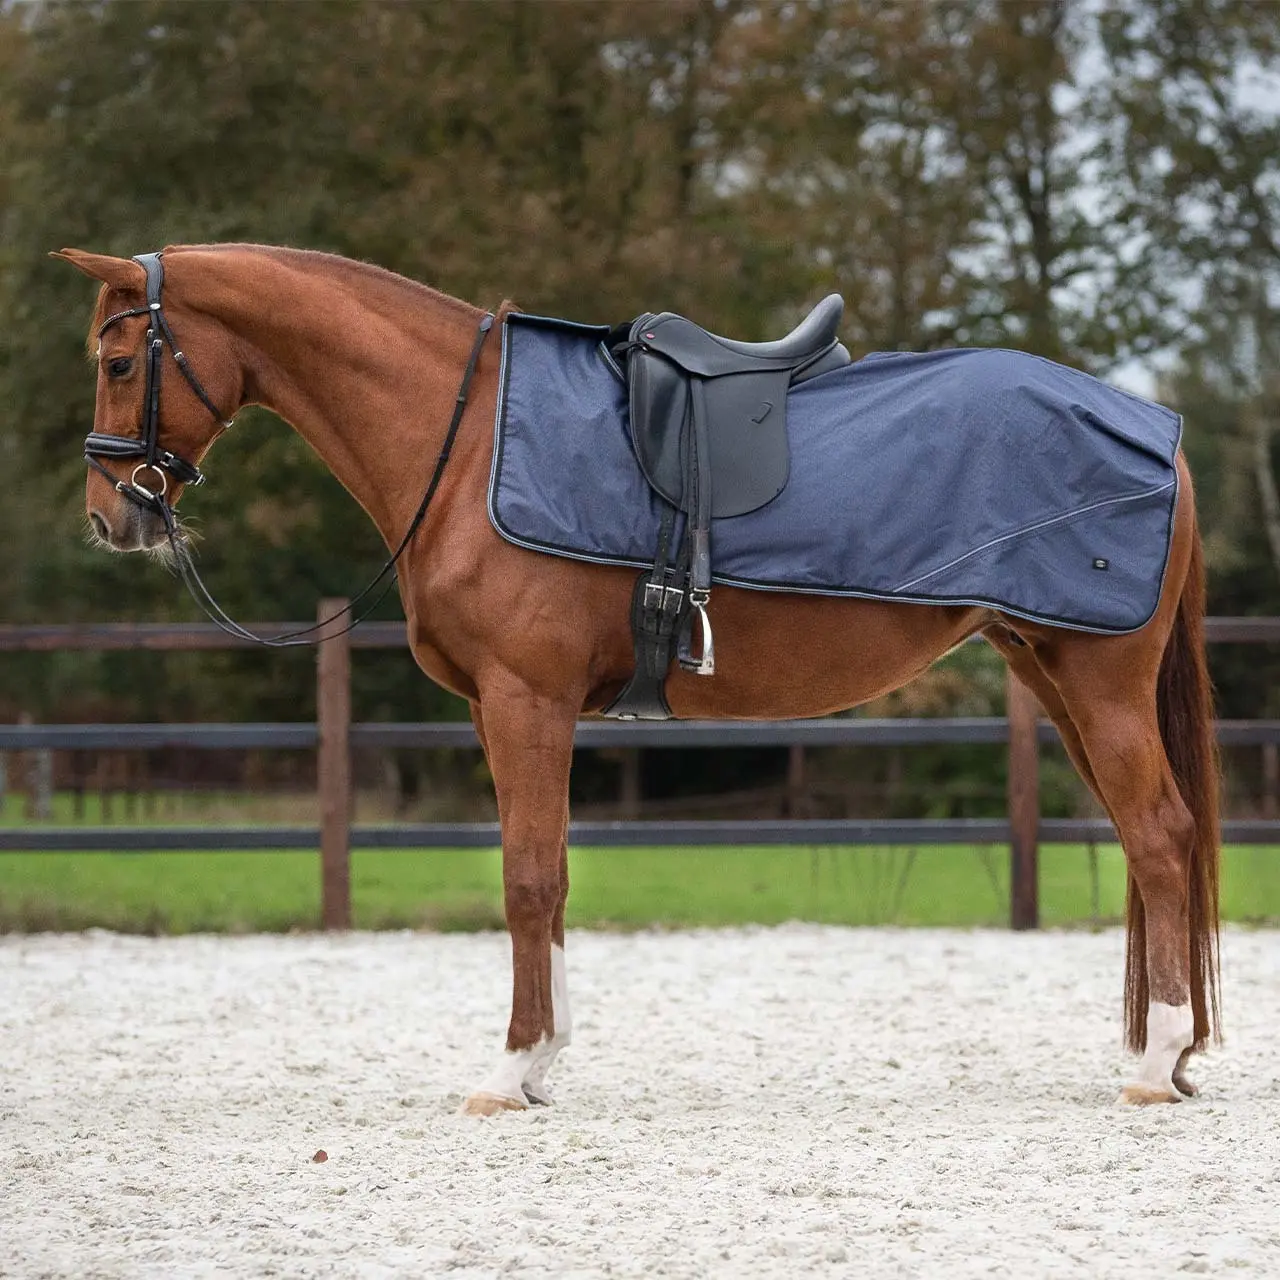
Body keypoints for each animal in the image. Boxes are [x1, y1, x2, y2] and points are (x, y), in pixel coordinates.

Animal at [54, 243, 1220, 1114]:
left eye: (116, 363)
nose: (112, 518)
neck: (465, 442)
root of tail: (1161, 436)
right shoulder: (520, 710)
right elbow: (552, 876)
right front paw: (543, 1059)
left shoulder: (524, 699)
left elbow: (527, 877)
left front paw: (509, 1069)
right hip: (1054, 675)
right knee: (1147, 841)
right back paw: (1161, 1053)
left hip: (1099, 683)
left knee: (1160, 837)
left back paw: (1155, 1059)